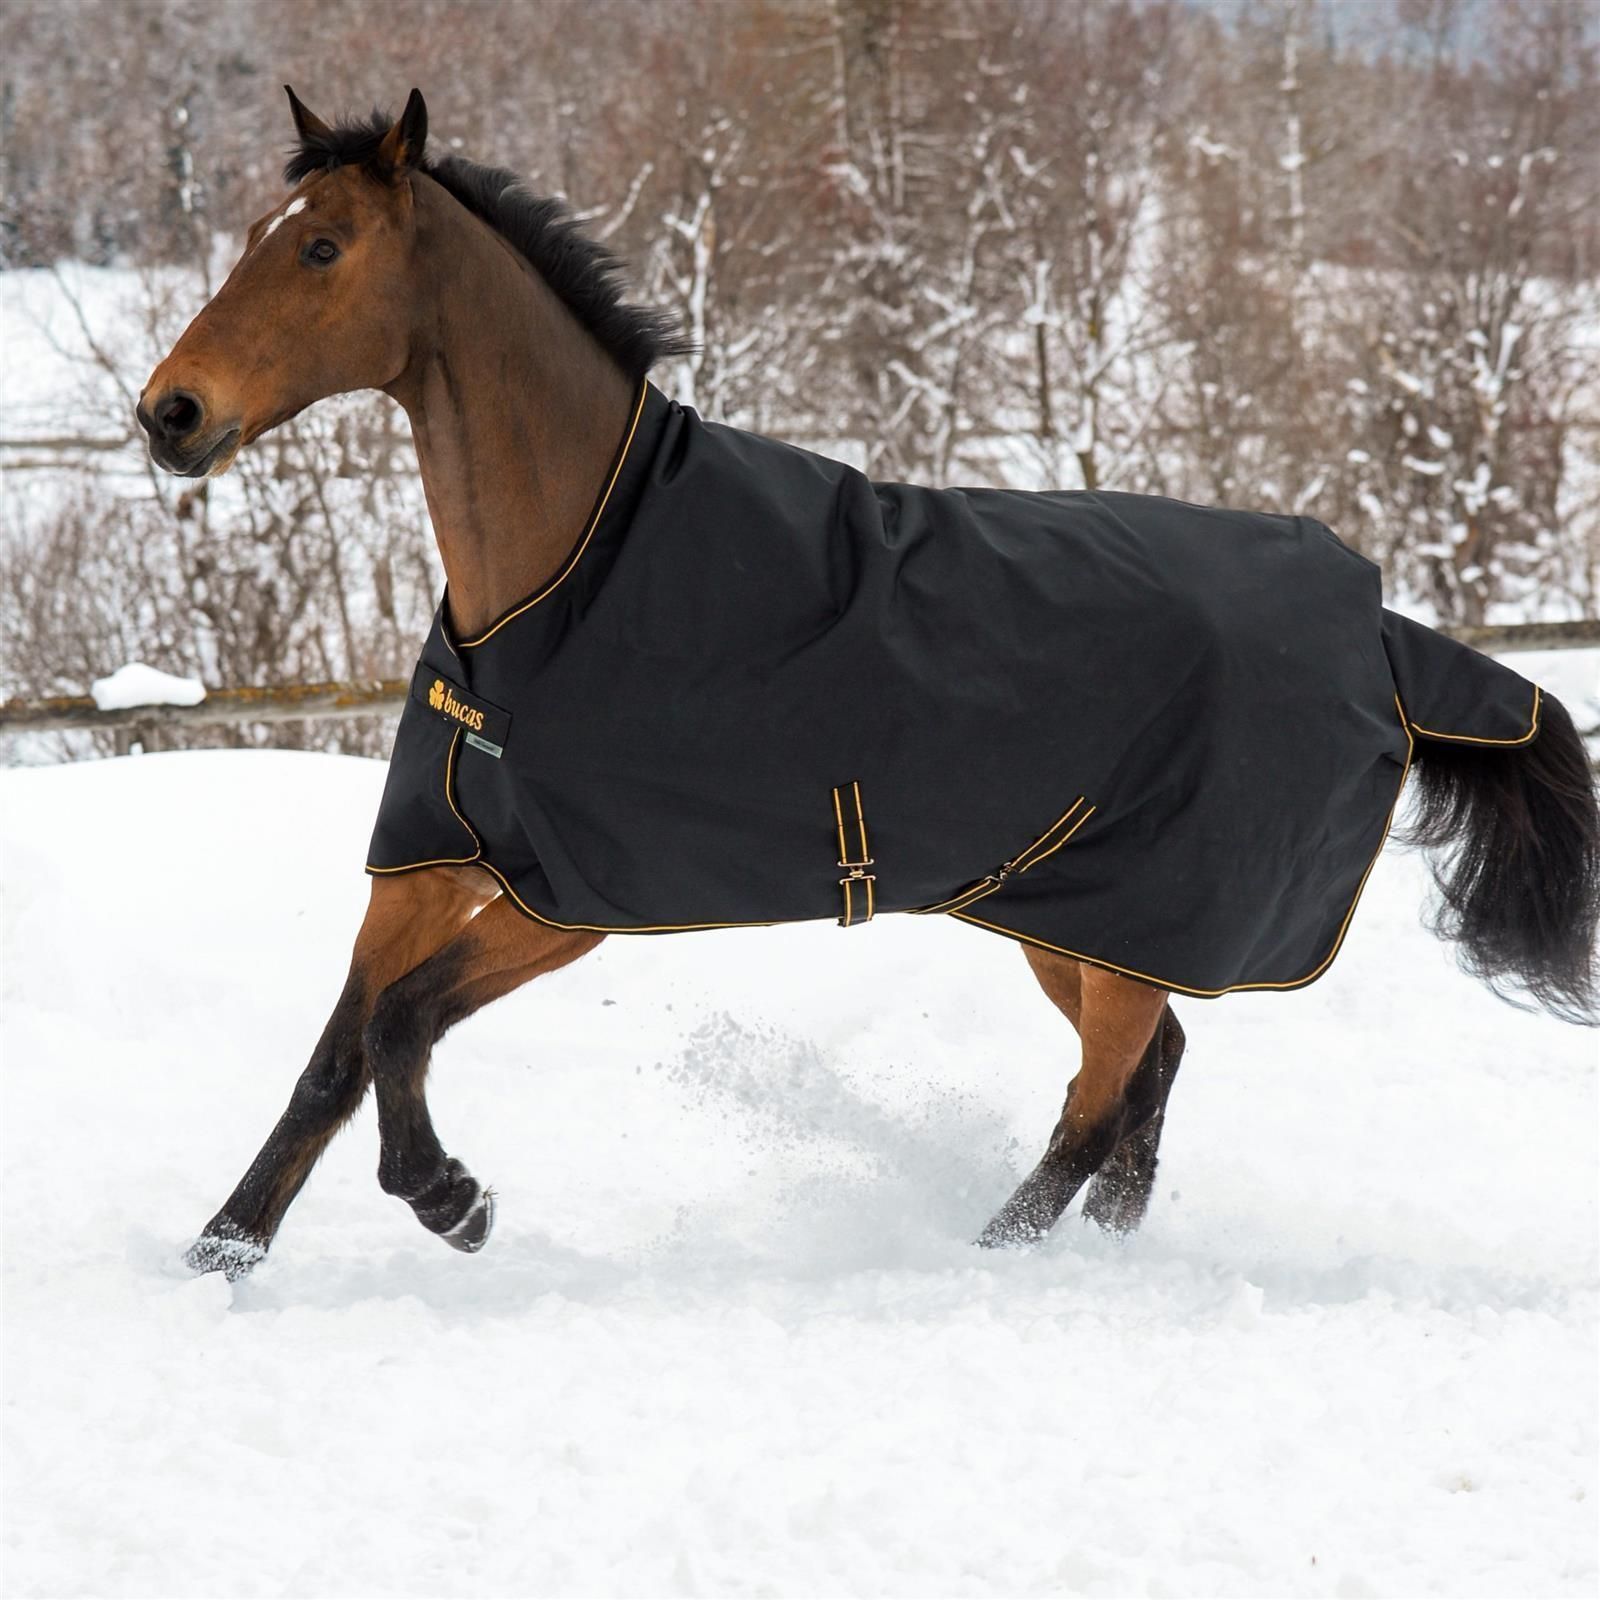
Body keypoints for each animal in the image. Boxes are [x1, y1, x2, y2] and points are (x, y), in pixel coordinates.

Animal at [138, 90, 1600, 1281]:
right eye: (260, 230)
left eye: (322, 248)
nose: (171, 415)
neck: (569, 575)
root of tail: (1383, 631)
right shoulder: (433, 862)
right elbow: (335, 1058)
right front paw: (221, 1255)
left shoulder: (573, 899)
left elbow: (401, 1026)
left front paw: (454, 1201)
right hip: (1071, 916)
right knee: (1146, 1081)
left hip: (1125, 920)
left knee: (1100, 1102)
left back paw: (980, 1258)